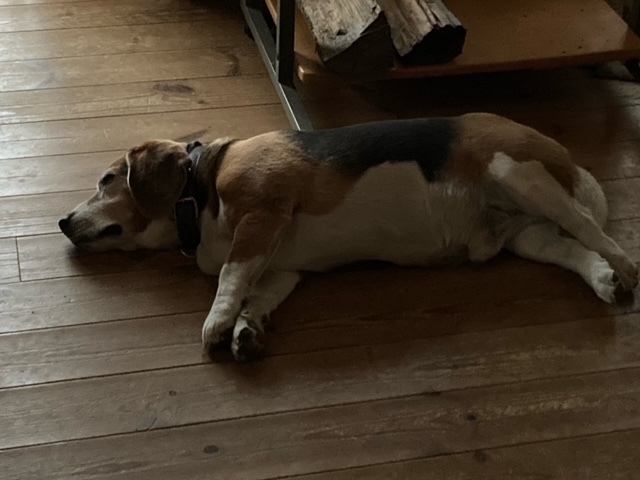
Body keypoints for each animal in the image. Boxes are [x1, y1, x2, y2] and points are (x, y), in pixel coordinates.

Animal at [59, 113, 638, 361]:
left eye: (107, 180)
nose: (63, 222)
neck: (197, 191)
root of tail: (567, 158)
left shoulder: (263, 213)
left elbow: (229, 276)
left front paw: (218, 322)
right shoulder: (280, 265)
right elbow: (257, 293)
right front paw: (247, 328)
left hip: (519, 173)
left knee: (591, 230)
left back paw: (625, 268)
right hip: (526, 234)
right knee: (572, 248)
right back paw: (604, 280)